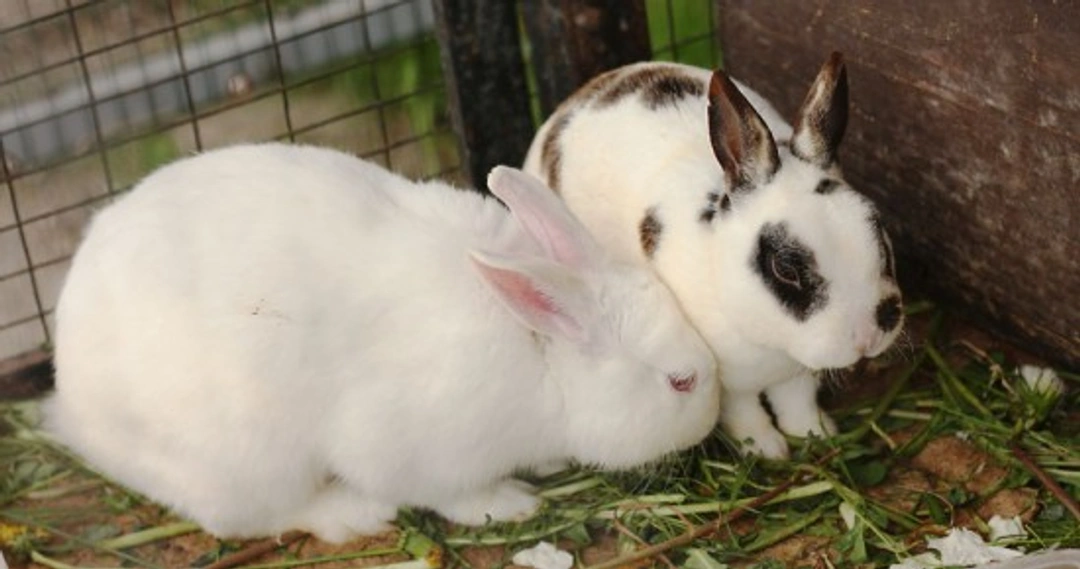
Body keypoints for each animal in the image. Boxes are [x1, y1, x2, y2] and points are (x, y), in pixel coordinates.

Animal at [43, 143, 720, 543]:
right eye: (679, 382)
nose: (713, 413)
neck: (541, 358)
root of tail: (73, 406)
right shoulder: (410, 446)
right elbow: (451, 494)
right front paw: (510, 505)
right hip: (247, 460)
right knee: (256, 517)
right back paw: (353, 513)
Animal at [523, 52, 904, 459]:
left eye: (877, 226)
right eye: (785, 267)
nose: (870, 333)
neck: (772, 341)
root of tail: (575, 98)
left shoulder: (796, 372)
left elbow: (796, 400)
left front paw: (815, 433)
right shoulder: (726, 380)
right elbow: (745, 411)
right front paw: (765, 449)